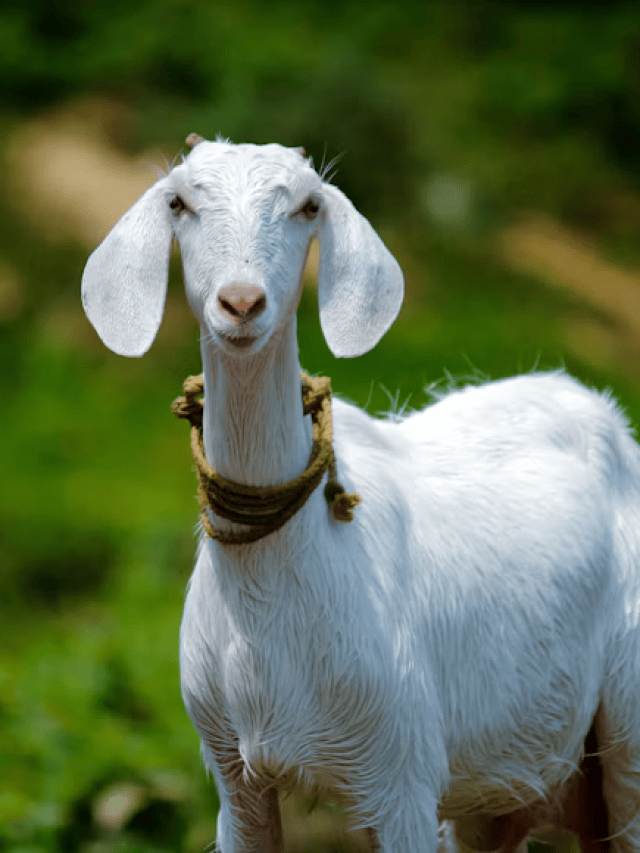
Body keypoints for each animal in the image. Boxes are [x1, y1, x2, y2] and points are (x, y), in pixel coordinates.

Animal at [81, 136, 640, 853]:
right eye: (179, 202)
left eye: (307, 205)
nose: (241, 303)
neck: (274, 589)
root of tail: (598, 410)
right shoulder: (234, 774)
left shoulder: (402, 773)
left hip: (628, 727)